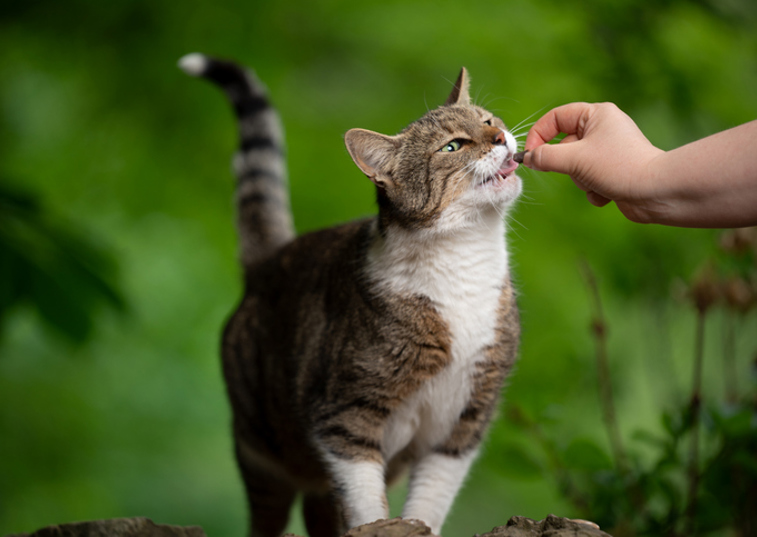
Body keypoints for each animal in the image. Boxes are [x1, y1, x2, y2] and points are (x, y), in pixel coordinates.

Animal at [179, 54, 520, 536]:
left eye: (488, 121)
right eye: (452, 147)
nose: (500, 138)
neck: (462, 264)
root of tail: (271, 258)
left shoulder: (468, 417)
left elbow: (432, 497)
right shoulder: (343, 414)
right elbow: (363, 495)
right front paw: (377, 524)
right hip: (260, 445)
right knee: (271, 511)